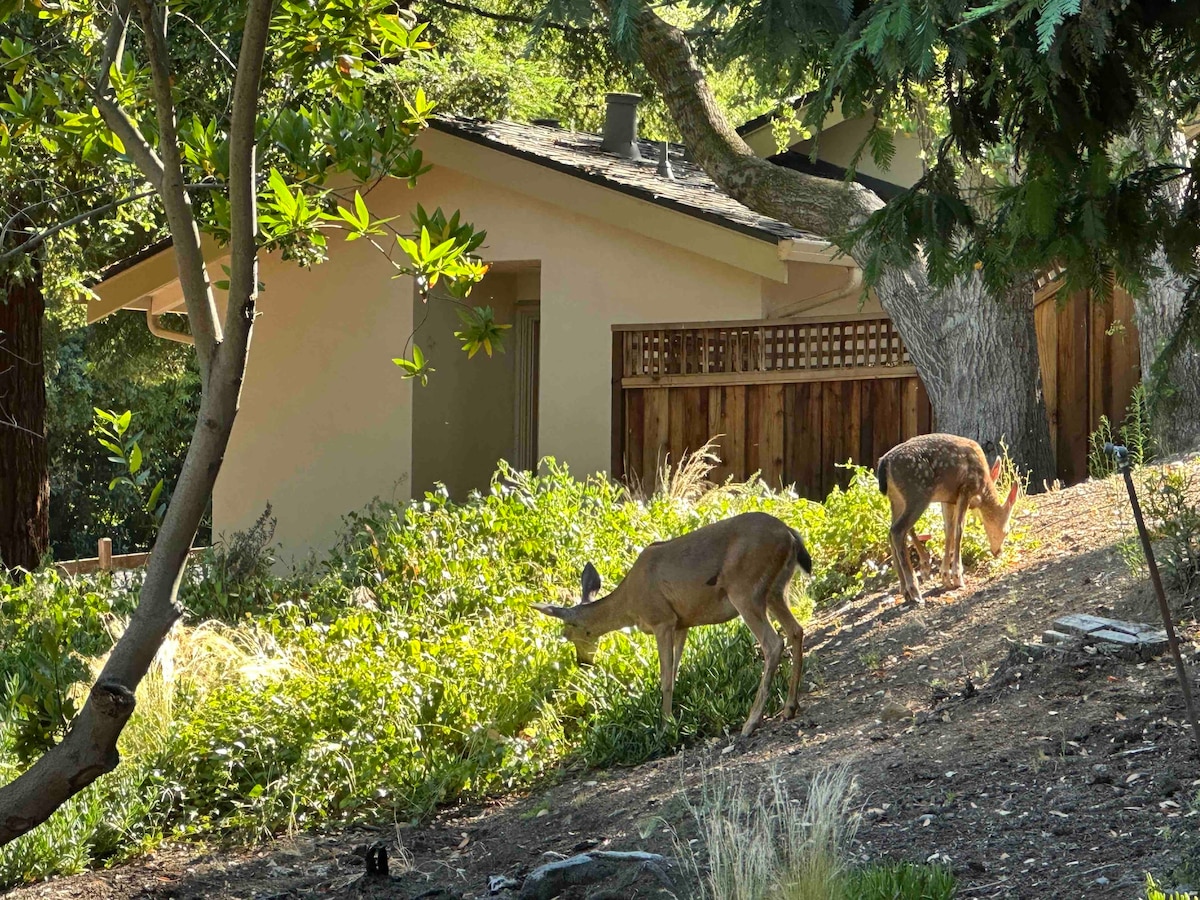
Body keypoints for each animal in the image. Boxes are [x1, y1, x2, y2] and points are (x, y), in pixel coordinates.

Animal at [535, 513, 816, 739]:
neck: (630, 604)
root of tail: (789, 534)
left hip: (745, 589)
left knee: (773, 643)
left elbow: (665, 677)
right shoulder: (682, 623)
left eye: (568, 634)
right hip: (775, 590)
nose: (582, 662)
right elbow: (675, 671)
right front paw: (673, 719)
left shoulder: (662, 620)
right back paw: (789, 707)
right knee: (796, 630)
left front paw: (665, 726)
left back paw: (751, 722)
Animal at [878, 434, 1017, 607]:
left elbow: (948, 530)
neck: (982, 487)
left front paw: (945, 577)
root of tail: (884, 463)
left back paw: (905, 590)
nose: (998, 552)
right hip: (917, 494)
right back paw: (915, 591)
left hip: (896, 500)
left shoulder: (949, 499)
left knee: (890, 532)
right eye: (1007, 531)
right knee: (897, 531)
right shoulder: (966, 488)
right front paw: (957, 577)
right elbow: (959, 530)